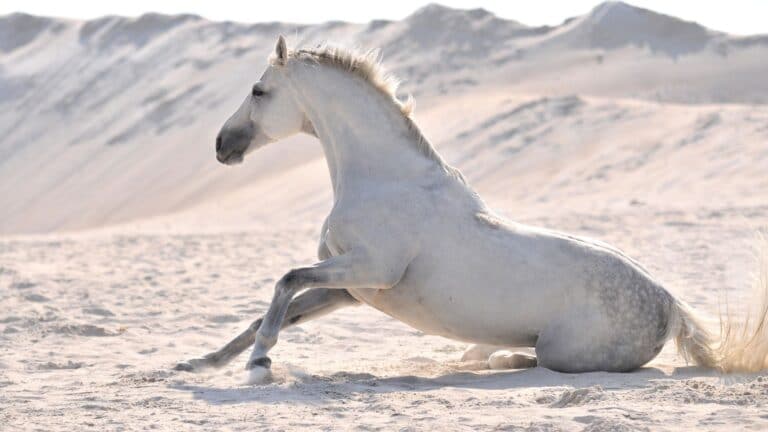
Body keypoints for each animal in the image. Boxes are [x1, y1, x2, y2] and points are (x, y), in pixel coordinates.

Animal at [175, 36, 768, 383]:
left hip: (566, 351)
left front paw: (259, 365)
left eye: (259, 90)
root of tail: (671, 303)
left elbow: (284, 281)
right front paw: (202, 362)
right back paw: (479, 356)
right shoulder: (350, 287)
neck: (384, 180)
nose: (221, 145)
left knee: (536, 359)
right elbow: (274, 307)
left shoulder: (370, 270)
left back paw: (493, 359)